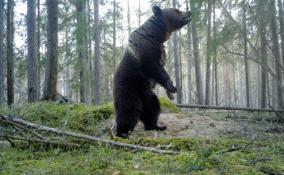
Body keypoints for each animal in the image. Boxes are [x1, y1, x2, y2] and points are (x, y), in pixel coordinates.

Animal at [112, 5, 191, 138]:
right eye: (177, 10)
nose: (189, 12)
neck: (156, 35)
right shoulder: (146, 51)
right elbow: (156, 69)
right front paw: (173, 87)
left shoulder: (160, 50)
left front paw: (171, 92)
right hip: (128, 88)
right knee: (128, 110)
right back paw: (122, 132)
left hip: (146, 94)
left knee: (152, 108)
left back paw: (156, 126)